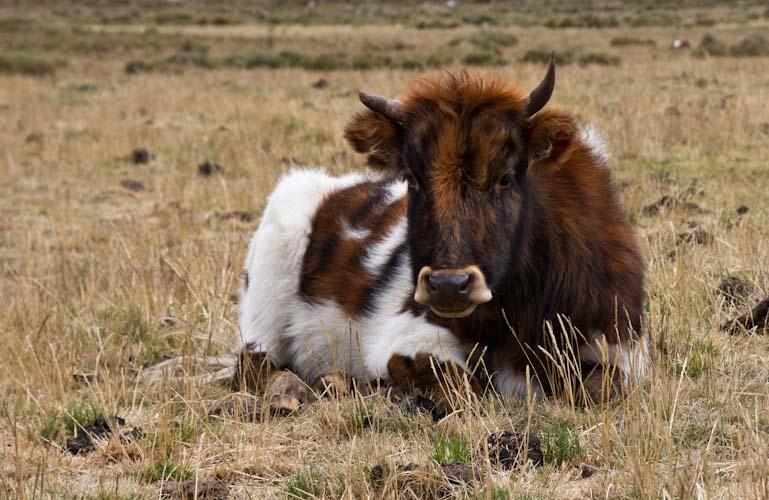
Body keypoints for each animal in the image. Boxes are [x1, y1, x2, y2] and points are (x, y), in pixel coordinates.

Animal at [236, 55, 648, 406]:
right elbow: (461, 384)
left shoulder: (623, 346)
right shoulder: (404, 335)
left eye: (505, 178)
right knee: (253, 364)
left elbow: (605, 384)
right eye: (413, 180)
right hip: (263, 319)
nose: (449, 285)